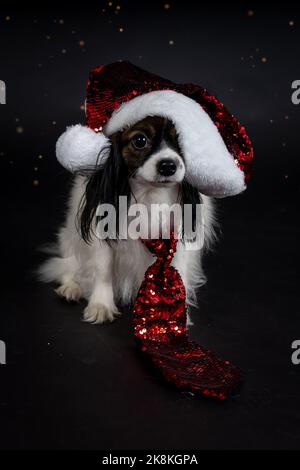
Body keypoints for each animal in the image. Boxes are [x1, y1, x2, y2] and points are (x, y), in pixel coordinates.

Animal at [39, 115, 216, 324]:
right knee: (68, 266)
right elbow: (103, 269)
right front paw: (101, 305)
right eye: (140, 141)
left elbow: (177, 271)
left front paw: (177, 313)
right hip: (68, 239)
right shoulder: (101, 233)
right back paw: (72, 287)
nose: (168, 166)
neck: (150, 193)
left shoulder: (177, 241)